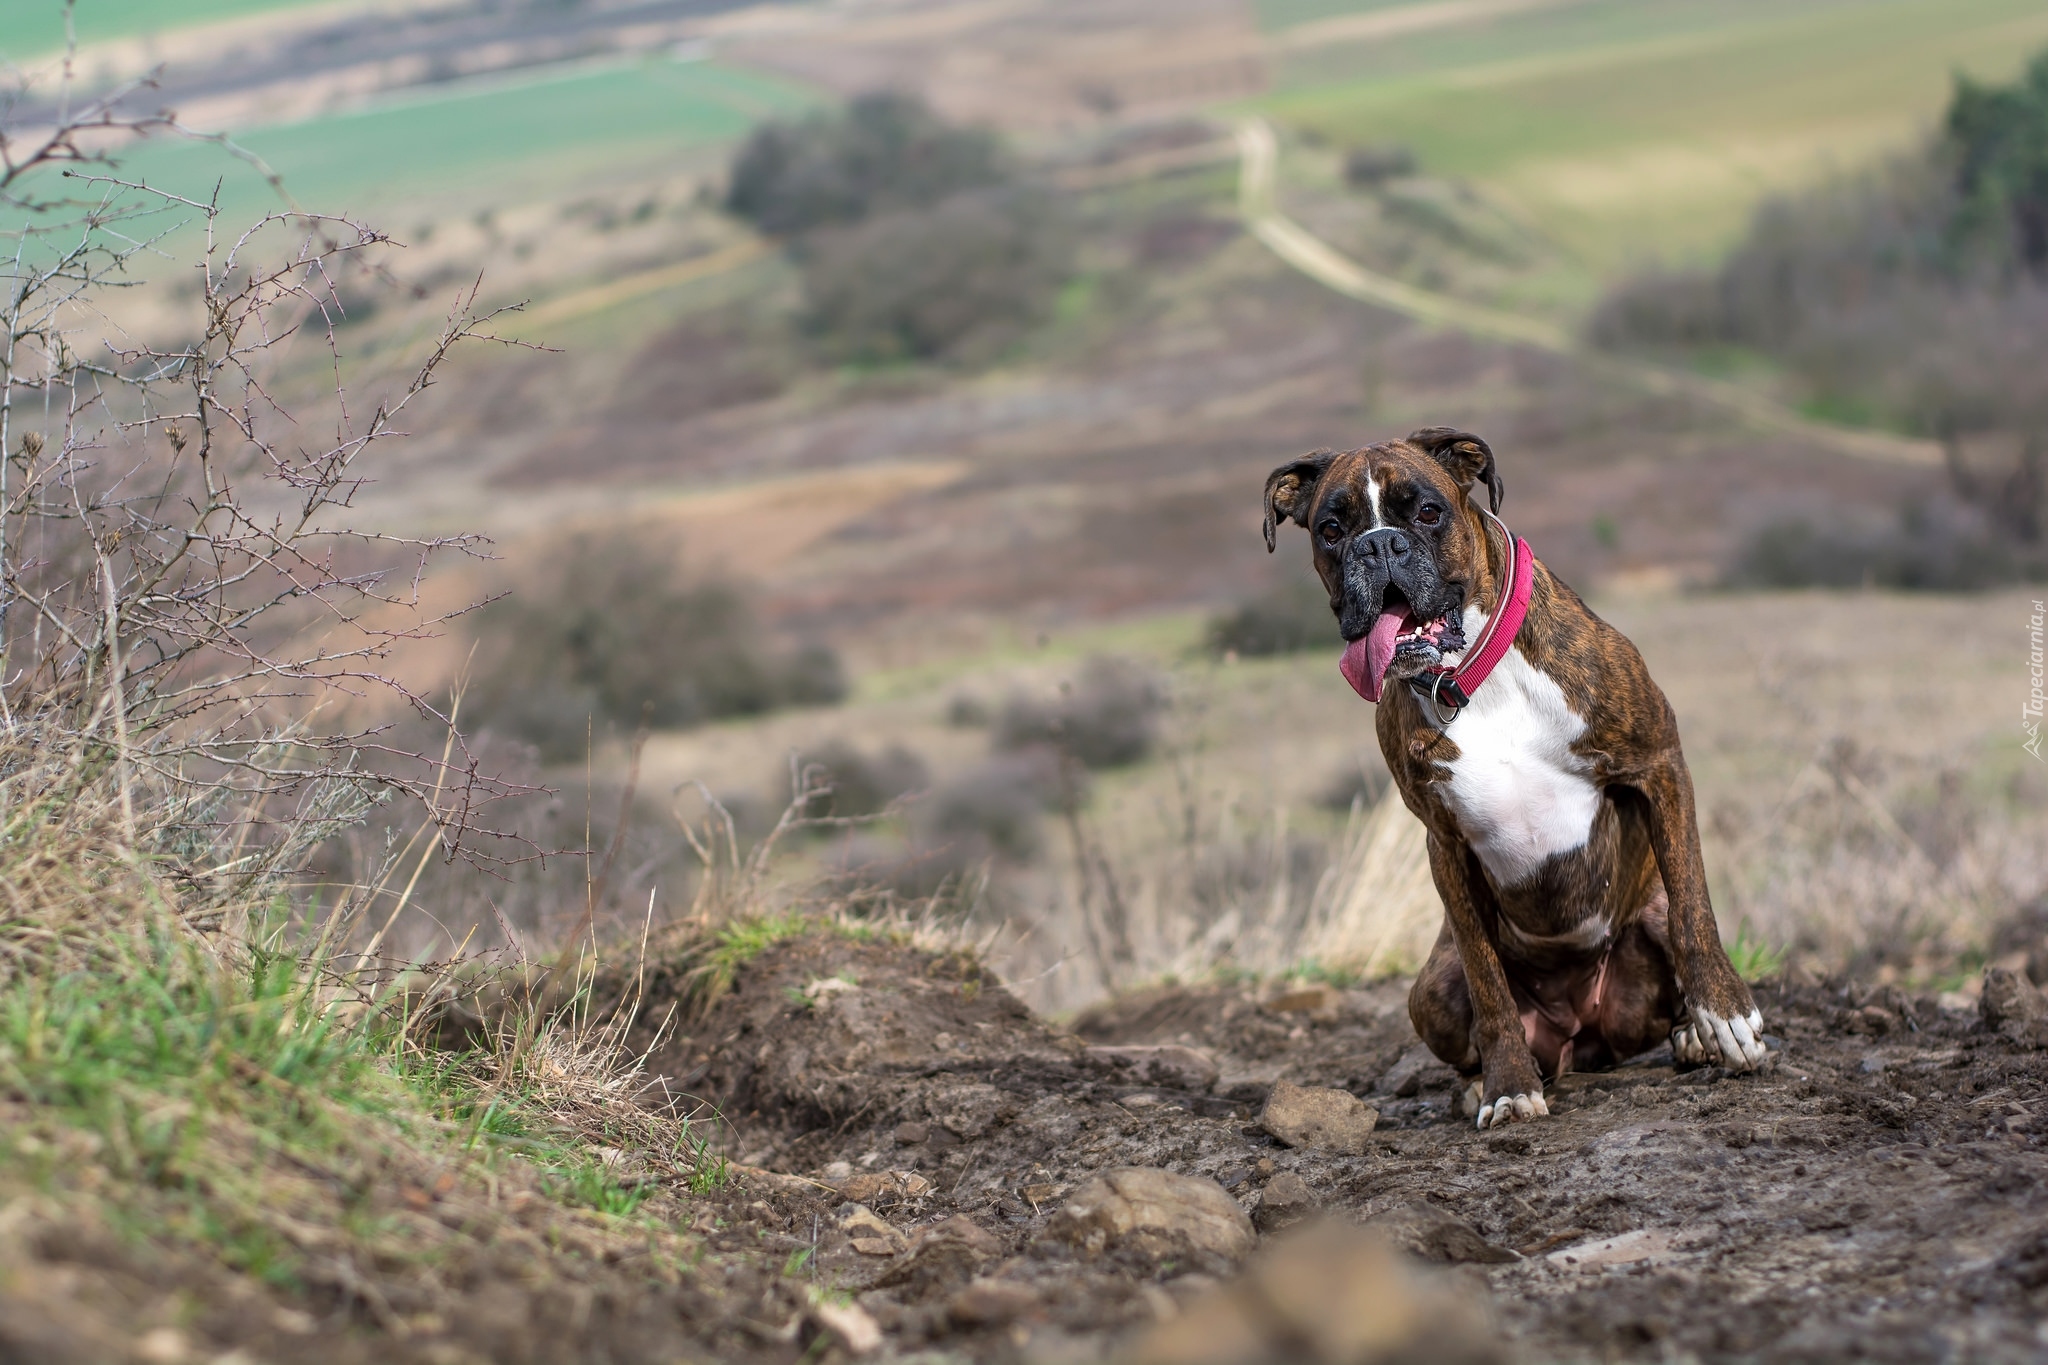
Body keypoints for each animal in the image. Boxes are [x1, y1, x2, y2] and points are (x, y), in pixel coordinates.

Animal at [1253, 429, 1769, 1129]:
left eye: (1427, 512)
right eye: (1332, 529)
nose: (1378, 545)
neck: (1474, 676)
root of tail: (1584, 1035)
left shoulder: (1659, 763)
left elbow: (1695, 910)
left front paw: (1724, 1013)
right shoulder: (1446, 846)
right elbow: (1488, 984)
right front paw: (1507, 1087)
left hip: (1645, 923)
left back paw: (1693, 1034)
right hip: (1430, 992)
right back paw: (1483, 1083)